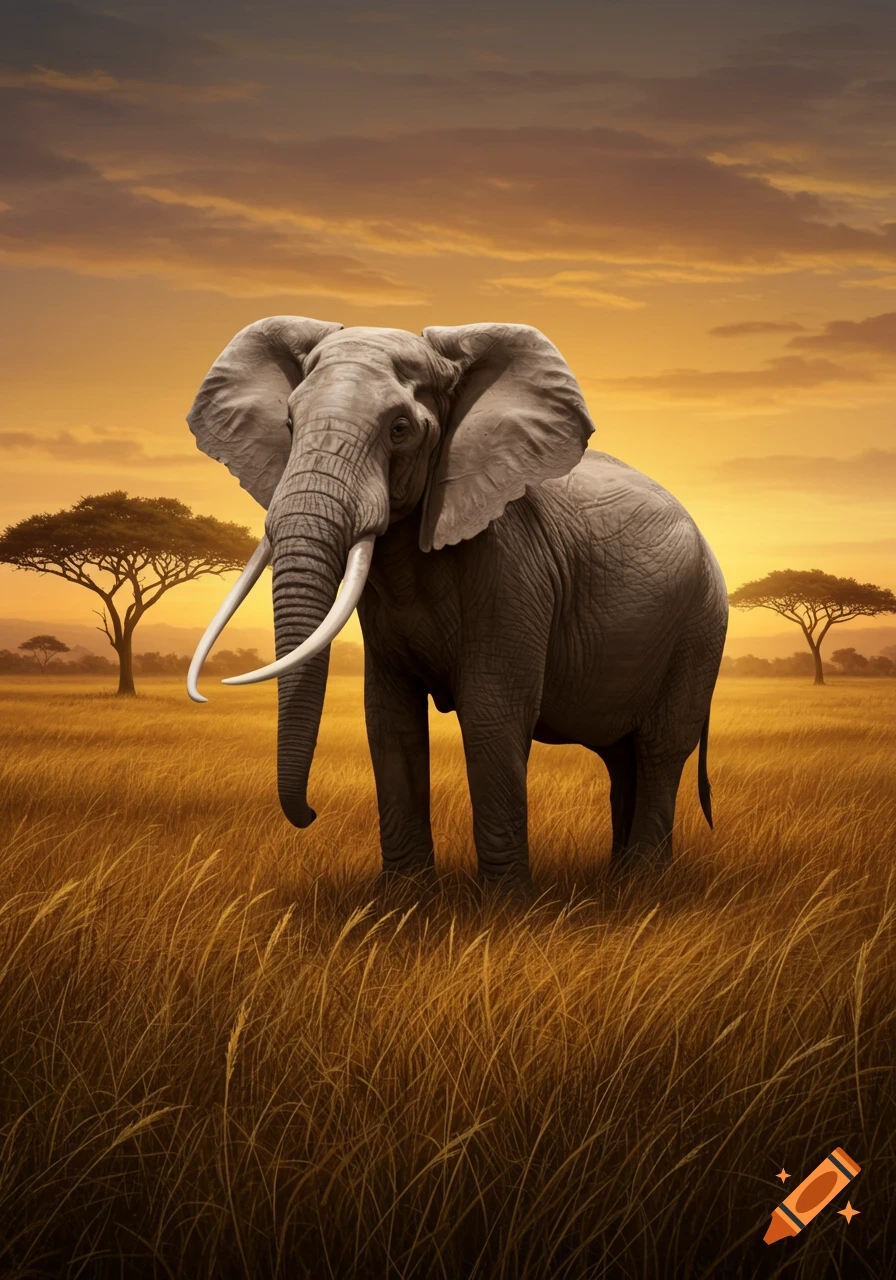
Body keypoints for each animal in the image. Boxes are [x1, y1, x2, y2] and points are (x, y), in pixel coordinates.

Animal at [185, 317, 728, 890]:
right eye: (289, 424)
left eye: (400, 429)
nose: (310, 814)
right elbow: (390, 720)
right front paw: (404, 898)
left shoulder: (512, 566)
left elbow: (492, 715)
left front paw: (505, 906)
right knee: (622, 756)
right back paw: (620, 880)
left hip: (700, 624)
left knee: (659, 749)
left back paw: (642, 884)